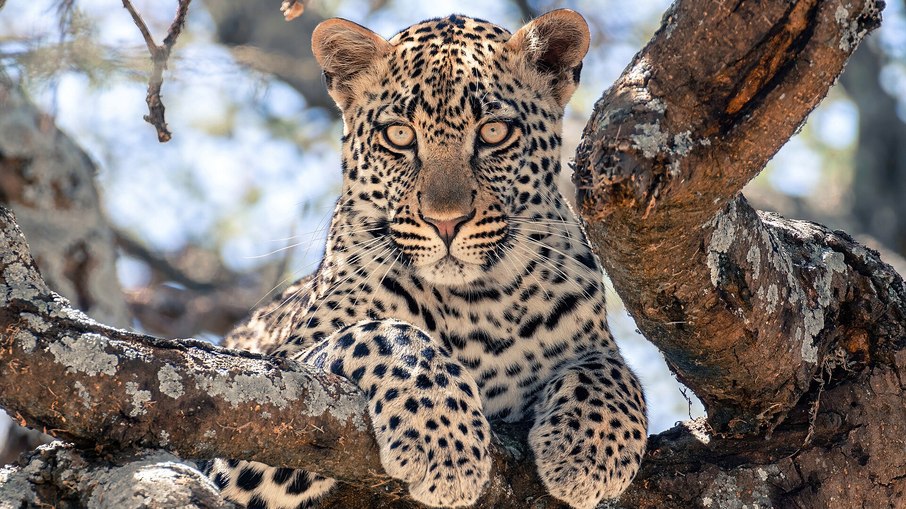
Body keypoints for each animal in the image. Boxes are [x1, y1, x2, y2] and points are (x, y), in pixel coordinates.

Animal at [201, 9, 647, 509]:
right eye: (399, 135)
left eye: (494, 132)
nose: (446, 222)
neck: (477, 303)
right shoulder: (262, 403)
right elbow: (384, 332)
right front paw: (446, 445)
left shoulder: (593, 342)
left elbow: (611, 369)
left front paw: (592, 450)